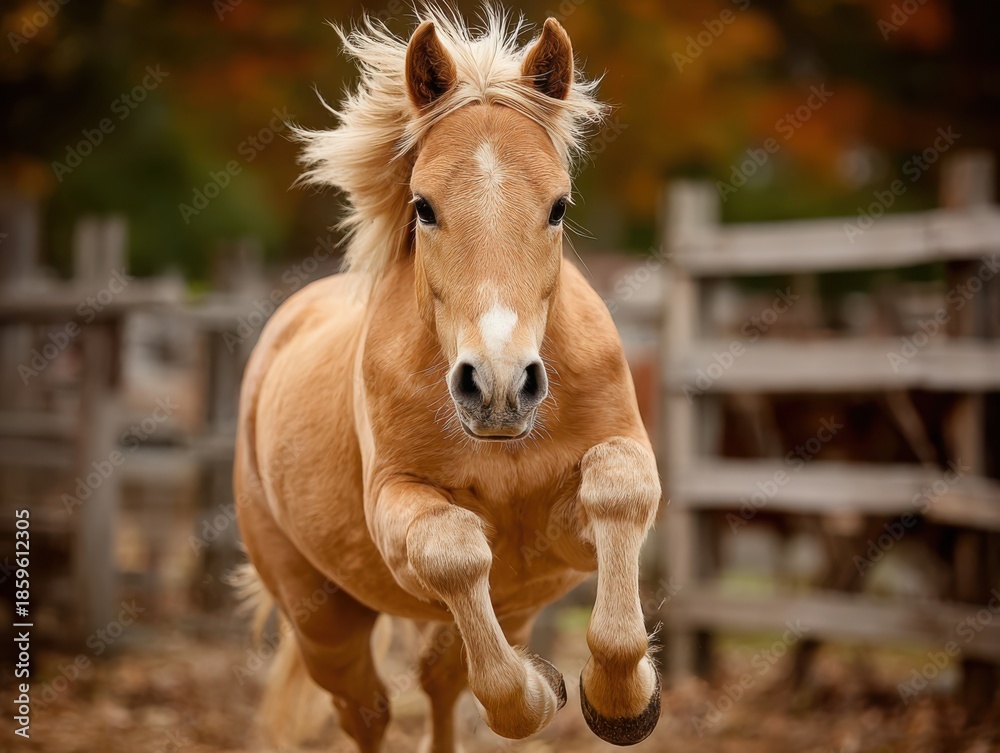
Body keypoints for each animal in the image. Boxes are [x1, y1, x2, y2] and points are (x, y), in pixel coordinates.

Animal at [234, 9, 663, 751]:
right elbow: (452, 551)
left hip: (503, 608)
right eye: (424, 206)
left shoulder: (568, 530)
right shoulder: (400, 510)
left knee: (439, 685)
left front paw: (621, 698)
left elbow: (620, 487)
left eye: (558, 205)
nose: (497, 387)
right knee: (369, 710)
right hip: (325, 623)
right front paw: (541, 691)